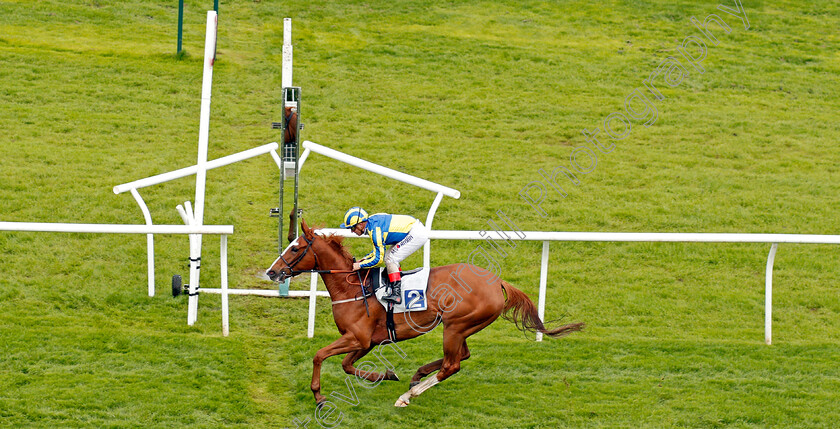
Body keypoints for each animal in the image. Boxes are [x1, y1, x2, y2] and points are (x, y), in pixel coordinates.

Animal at [266, 219, 580, 406]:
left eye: (294, 248)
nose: (272, 272)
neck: (352, 288)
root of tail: (496, 281)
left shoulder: (358, 338)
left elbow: (319, 355)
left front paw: (318, 395)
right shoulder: (367, 341)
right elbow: (346, 365)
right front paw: (384, 375)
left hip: (455, 325)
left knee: (452, 365)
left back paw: (409, 394)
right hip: (463, 327)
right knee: (462, 356)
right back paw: (416, 376)